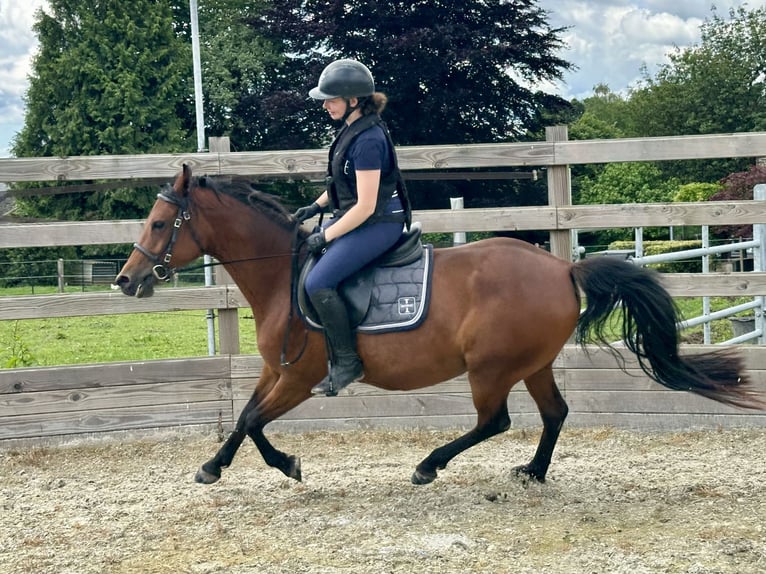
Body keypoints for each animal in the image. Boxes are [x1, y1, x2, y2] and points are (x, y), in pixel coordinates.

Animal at [114, 165, 760, 486]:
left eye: (158, 223)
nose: (125, 280)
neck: (283, 275)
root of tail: (562, 267)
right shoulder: (277, 370)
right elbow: (244, 418)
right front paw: (216, 466)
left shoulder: (299, 378)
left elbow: (252, 420)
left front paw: (284, 466)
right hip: (532, 364)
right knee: (553, 414)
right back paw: (533, 473)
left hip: (490, 368)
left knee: (494, 421)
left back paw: (430, 465)